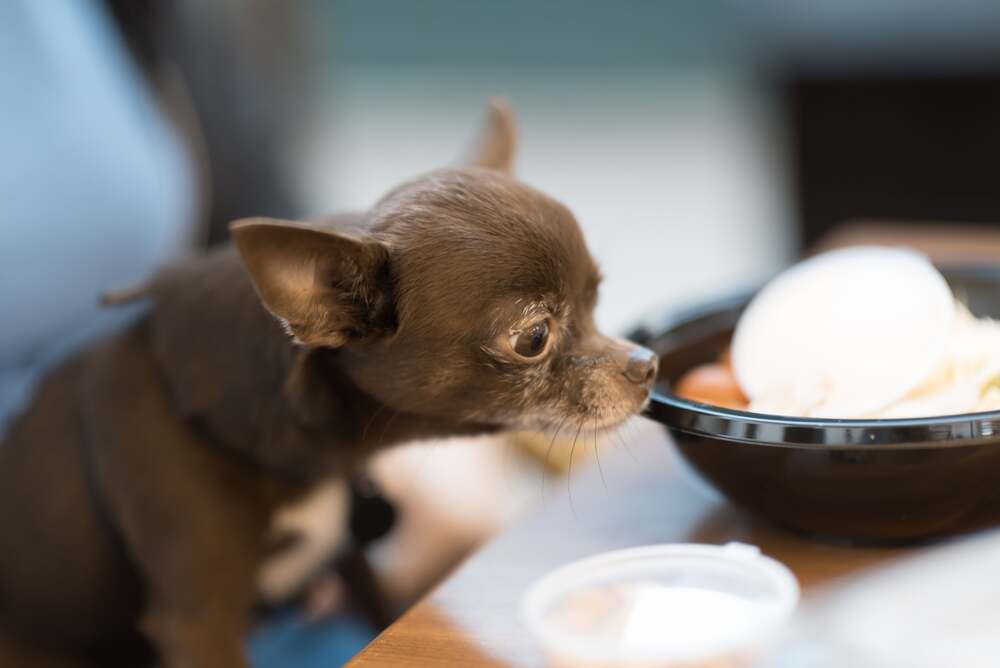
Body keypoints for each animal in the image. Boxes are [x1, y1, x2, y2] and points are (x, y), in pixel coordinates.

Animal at [0, 102, 656, 664]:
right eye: (533, 337)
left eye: (596, 298)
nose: (646, 364)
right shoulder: (198, 622)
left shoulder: (349, 558)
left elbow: (381, 610)